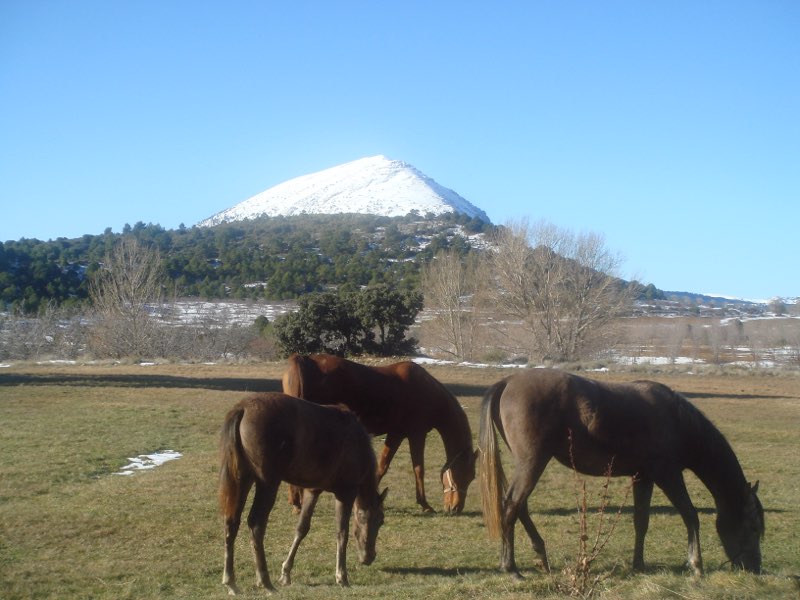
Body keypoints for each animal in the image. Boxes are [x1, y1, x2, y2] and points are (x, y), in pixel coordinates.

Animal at [219, 392, 387, 594]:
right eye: (380, 521)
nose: (369, 557)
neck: (356, 441)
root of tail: (243, 408)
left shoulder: (312, 490)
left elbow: (302, 528)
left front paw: (286, 573)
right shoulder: (345, 492)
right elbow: (342, 532)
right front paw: (342, 576)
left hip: (243, 478)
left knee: (232, 522)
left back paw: (231, 582)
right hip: (267, 483)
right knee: (256, 524)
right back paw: (265, 581)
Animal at [282, 353, 476, 514]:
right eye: (465, 474)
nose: (456, 508)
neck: (427, 391)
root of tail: (303, 360)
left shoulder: (396, 434)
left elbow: (382, 466)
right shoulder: (417, 435)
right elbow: (418, 469)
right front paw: (425, 505)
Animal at [479, 369, 764, 577]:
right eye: (752, 526)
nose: (754, 569)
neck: (676, 420)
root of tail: (508, 381)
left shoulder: (643, 477)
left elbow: (641, 521)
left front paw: (638, 565)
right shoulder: (668, 475)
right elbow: (690, 515)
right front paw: (696, 565)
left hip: (530, 464)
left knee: (520, 507)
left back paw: (540, 555)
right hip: (533, 462)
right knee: (511, 505)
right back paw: (511, 568)